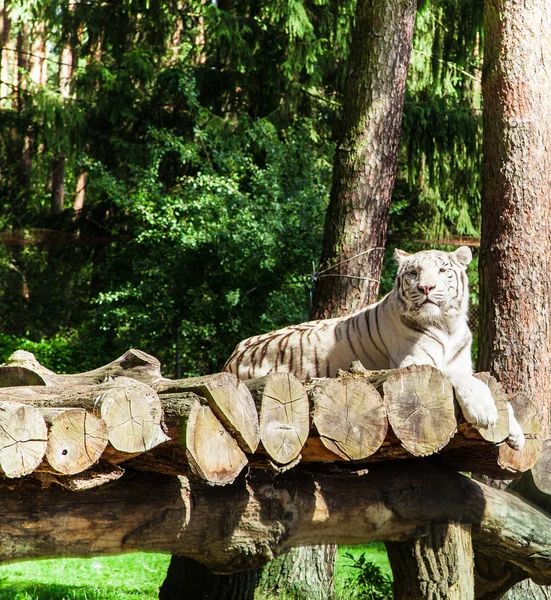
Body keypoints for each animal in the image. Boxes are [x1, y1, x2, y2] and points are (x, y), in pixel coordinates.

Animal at [224, 246, 528, 448]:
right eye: (414, 272)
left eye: (443, 270)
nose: (426, 288)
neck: (447, 325)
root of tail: (233, 354)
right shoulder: (414, 362)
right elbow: (465, 379)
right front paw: (485, 411)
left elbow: (490, 385)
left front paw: (516, 434)